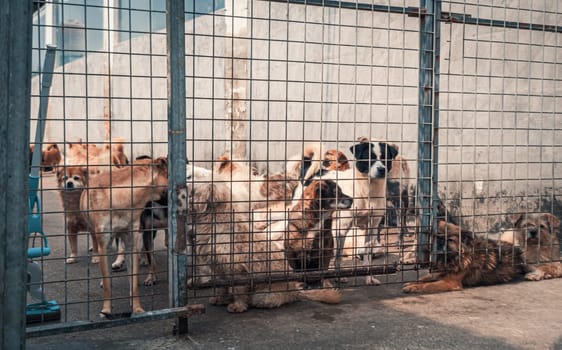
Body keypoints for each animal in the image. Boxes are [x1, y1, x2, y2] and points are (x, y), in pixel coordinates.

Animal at [177, 179, 340, 314]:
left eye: (193, 189)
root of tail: (294, 290)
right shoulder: (218, 268)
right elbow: (222, 287)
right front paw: (221, 299)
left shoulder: (237, 269)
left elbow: (238, 289)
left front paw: (238, 306)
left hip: (264, 295)